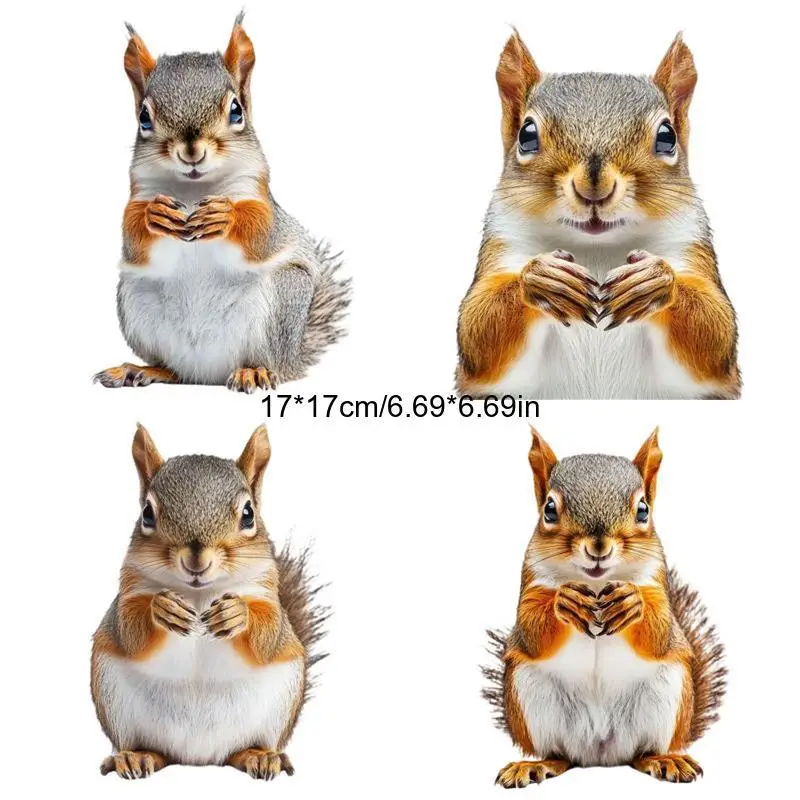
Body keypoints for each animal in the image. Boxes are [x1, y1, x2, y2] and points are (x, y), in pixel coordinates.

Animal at [91, 424, 327, 779]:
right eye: (147, 513)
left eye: (248, 515)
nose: (196, 560)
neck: (199, 593)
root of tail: (199, 758)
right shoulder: (128, 593)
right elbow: (129, 632)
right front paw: (162, 608)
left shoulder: (268, 596)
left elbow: (269, 636)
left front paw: (237, 614)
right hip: (113, 698)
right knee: (150, 748)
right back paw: (136, 756)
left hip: (280, 702)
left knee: (244, 749)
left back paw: (259, 756)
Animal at [94, 13, 350, 393]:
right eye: (144, 117)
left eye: (236, 111)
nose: (191, 152)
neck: (193, 189)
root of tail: (208, 374)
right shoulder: (139, 190)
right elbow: (132, 235)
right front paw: (155, 214)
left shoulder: (258, 193)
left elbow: (262, 233)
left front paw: (226, 216)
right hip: (135, 300)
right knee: (175, 370)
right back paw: (141, 369)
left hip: (281, 302)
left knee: (268, 362)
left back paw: (254, 371)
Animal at [456, 32, 740, 399]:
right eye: (526, 135)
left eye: (667, 137)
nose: (594, 187)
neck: (598, 250)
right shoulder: (503, 245)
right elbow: (478, 333)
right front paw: (542, 278)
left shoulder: (689, 248)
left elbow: (715, 335)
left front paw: (654, 280)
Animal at [483, 428, 726, 786]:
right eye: (549, 509)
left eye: (643, 510)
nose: (598, 547)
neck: (597, 584)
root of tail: (600, 755)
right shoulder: (530, 584)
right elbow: (531, 633)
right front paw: (564, 601)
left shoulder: (657, 585)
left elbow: (661, 634)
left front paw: (633, 602)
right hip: (531, 696)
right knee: (560, 755)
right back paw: (536, 765)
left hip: (666, 695)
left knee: (642, 752)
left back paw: (664, 759)